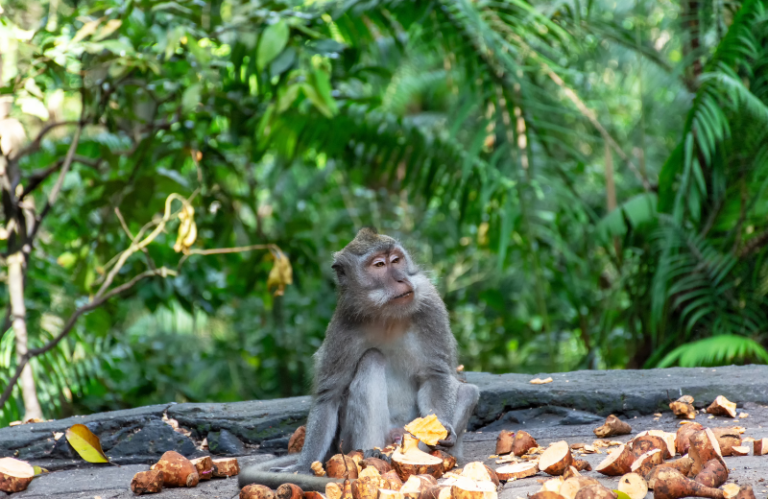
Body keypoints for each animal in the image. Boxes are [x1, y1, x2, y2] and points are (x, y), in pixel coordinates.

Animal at [240, 230, 480, 492]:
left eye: (396, 260)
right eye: (379, 265)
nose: (401, 279)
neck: (386, 314)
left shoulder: (429, 304)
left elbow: (435, 374)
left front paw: (441, 427)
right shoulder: (344, 324)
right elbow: (329, 396)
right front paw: (302, 466)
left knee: (468, 392)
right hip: (348, 441)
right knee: (372, 359)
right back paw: (372, 454)